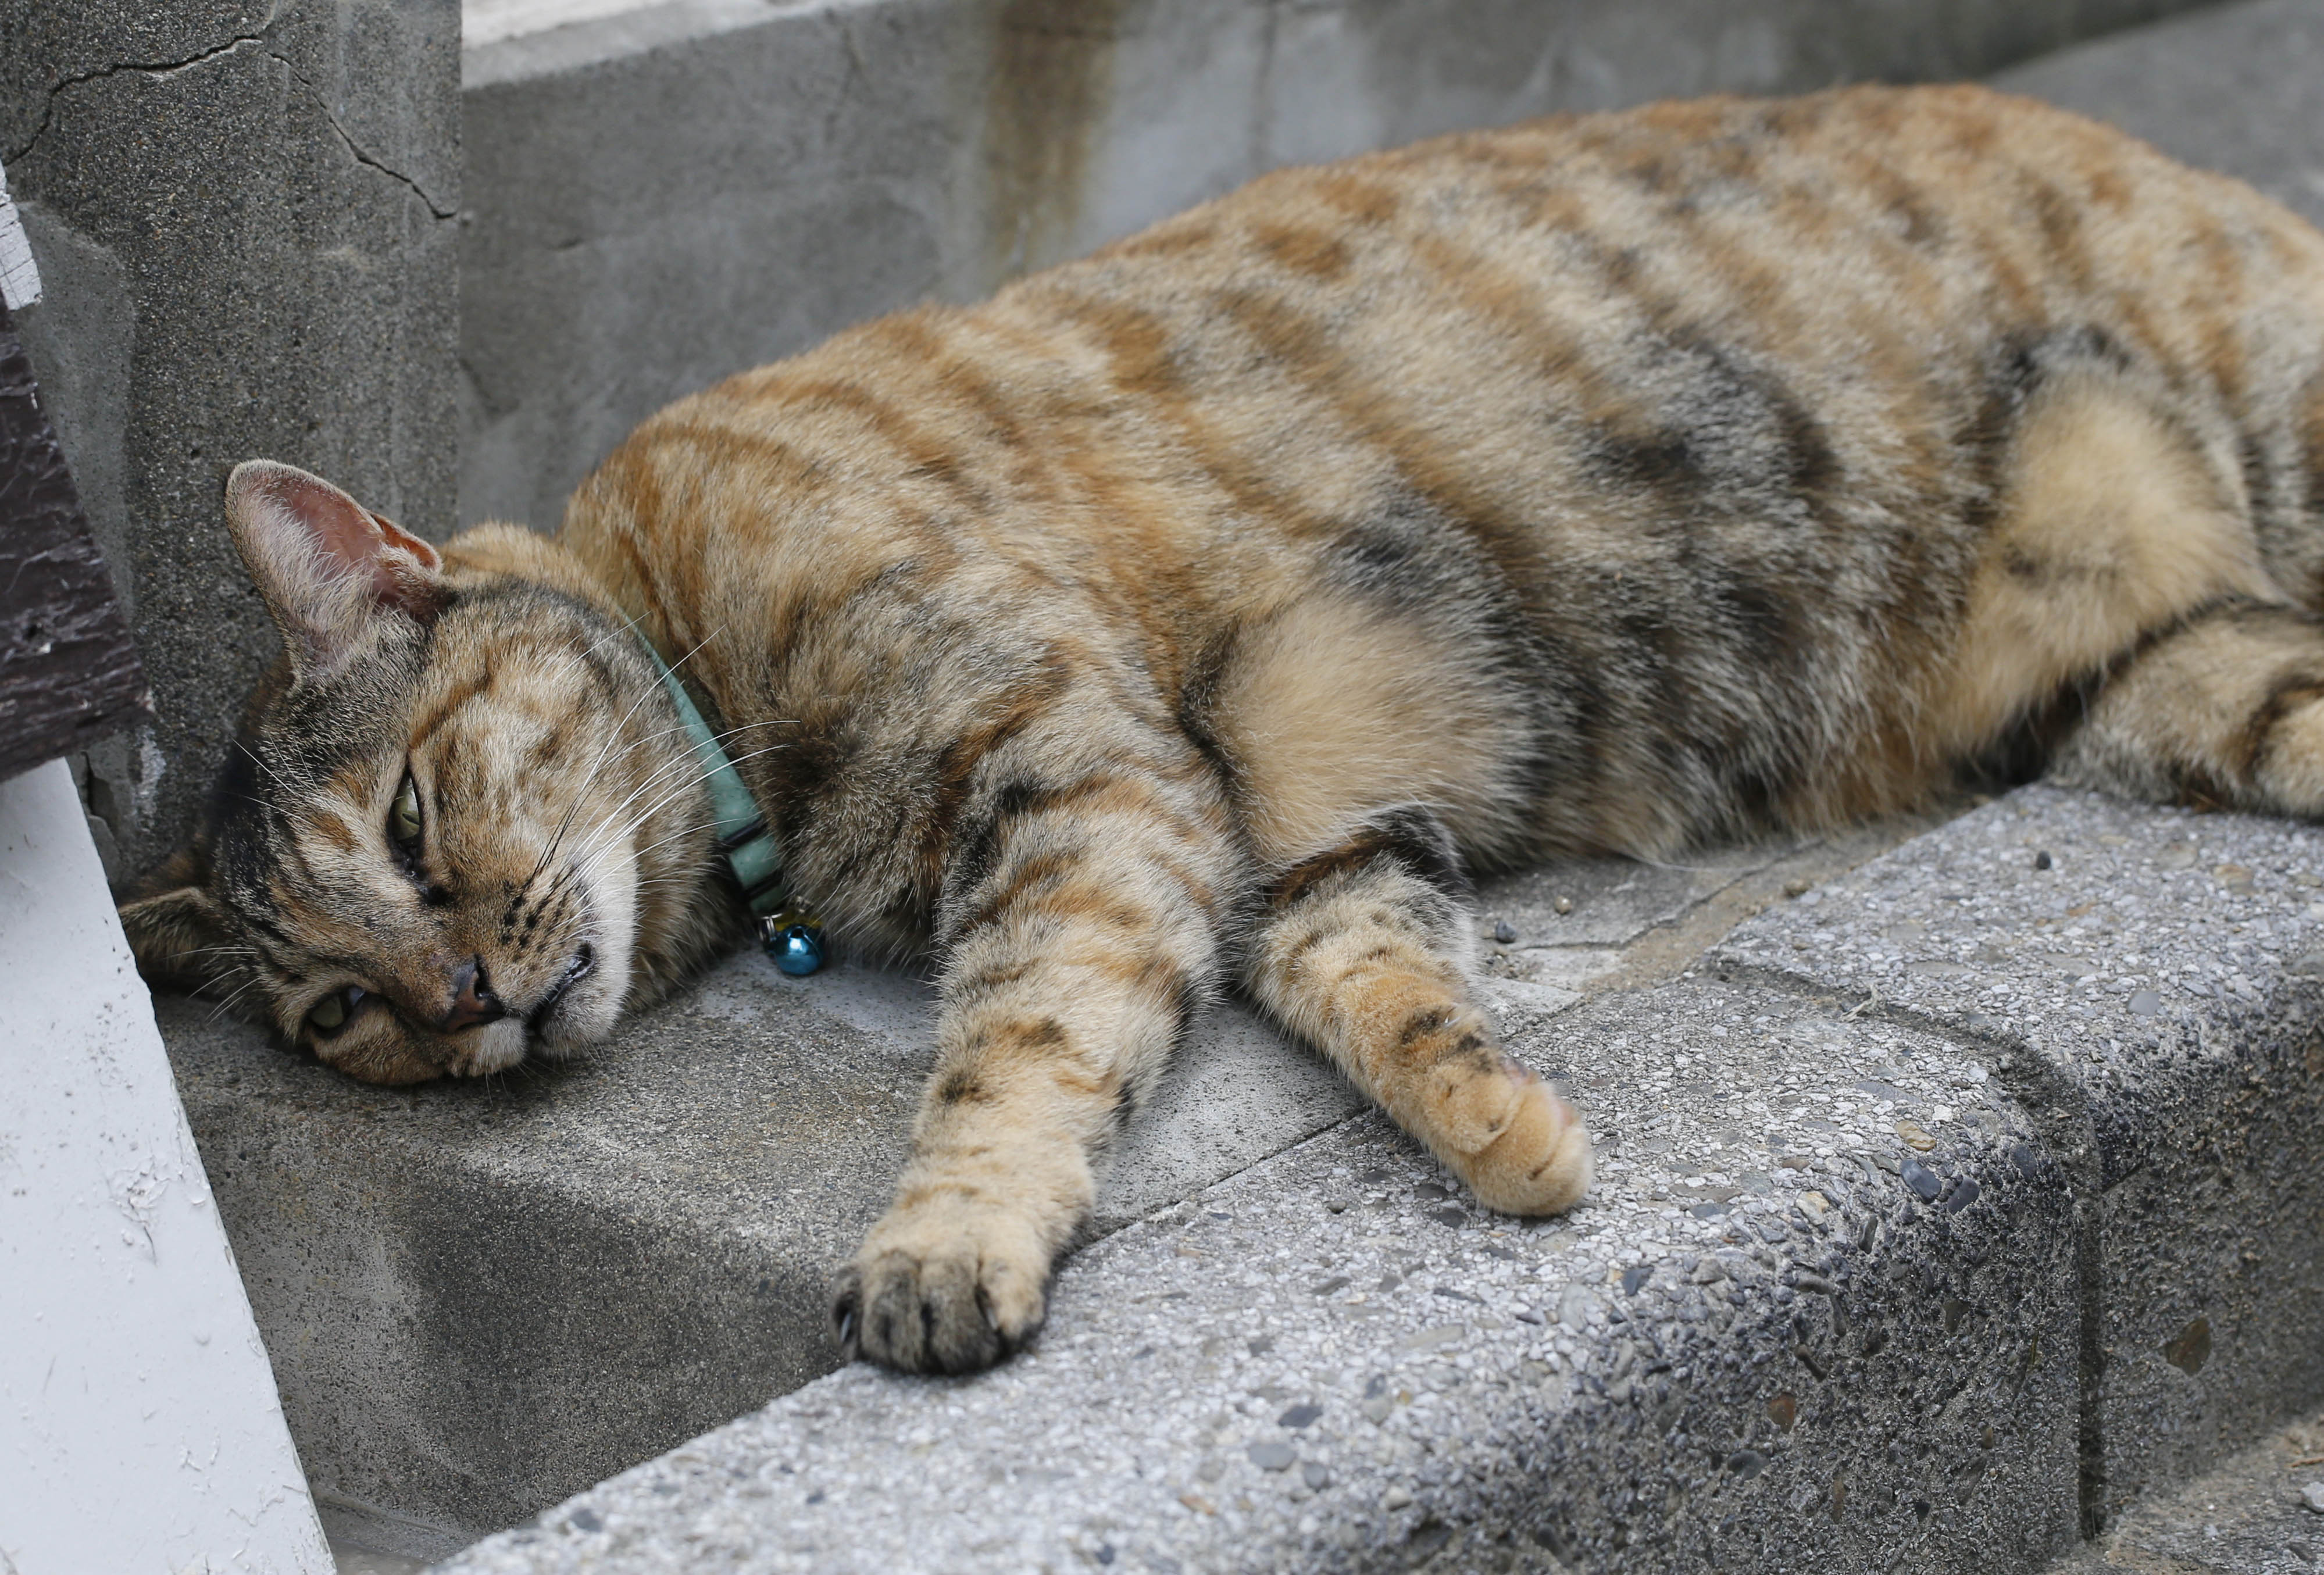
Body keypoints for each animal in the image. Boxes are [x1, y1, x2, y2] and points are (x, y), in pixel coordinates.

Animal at [122, 83, 2324, 1384]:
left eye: (413, 821)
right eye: (339, 1013)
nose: (464, 1001)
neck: (690, 643)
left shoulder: (1081, 782)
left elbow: (1014, 1045)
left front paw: (941, 1238)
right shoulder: (1280, 843)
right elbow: (1384, 987)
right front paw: (1502, 1127)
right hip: (2179, 687)